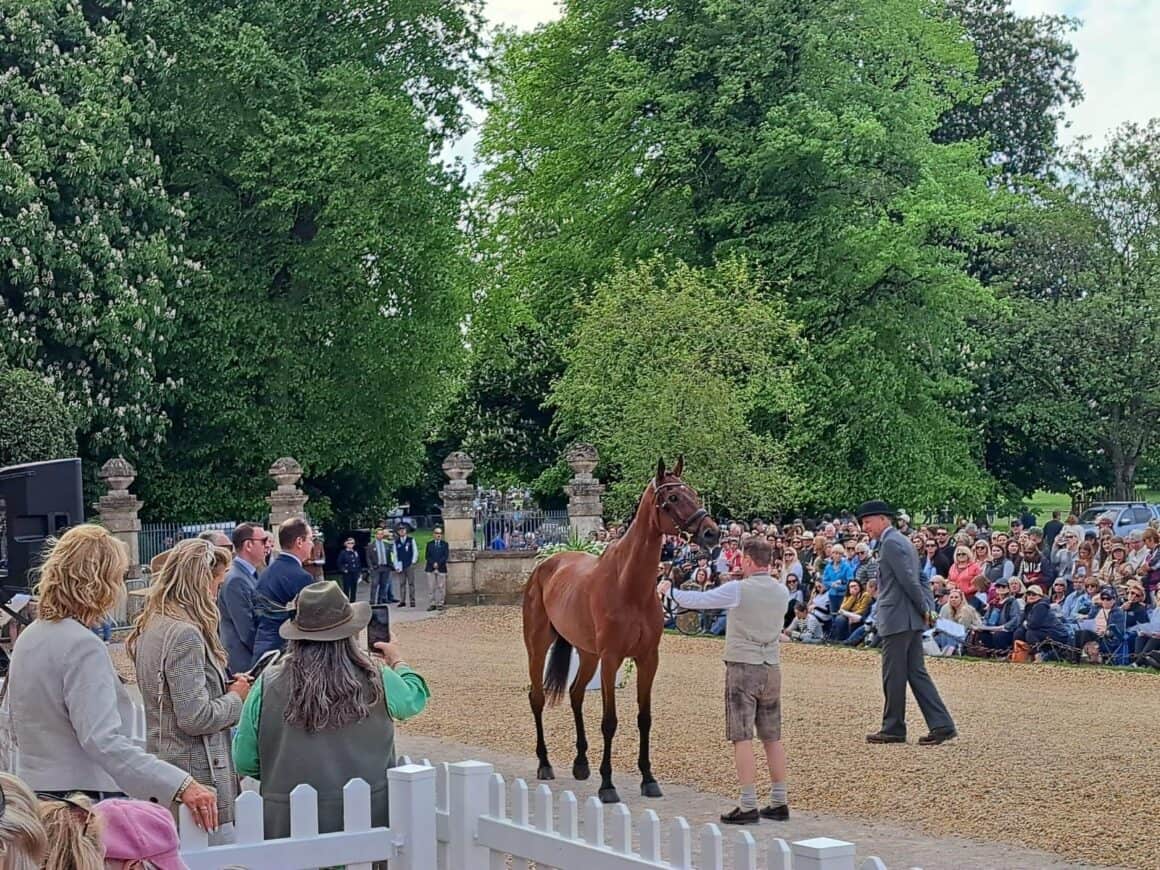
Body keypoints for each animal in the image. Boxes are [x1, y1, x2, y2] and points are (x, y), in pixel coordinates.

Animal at [523, 457, 720, 803]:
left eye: (694, 493)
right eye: (673, 497)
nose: (711, 532)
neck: (629, 586)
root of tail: (545, 566)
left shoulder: (648, 659)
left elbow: (644, 718)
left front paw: (648, 779)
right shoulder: (612, 658)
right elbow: (610, 721)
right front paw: (608, 784)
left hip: (588, 654)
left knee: (575, 694)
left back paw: (581, 764)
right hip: (538, 645)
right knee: (538, 698)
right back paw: (545, 763)